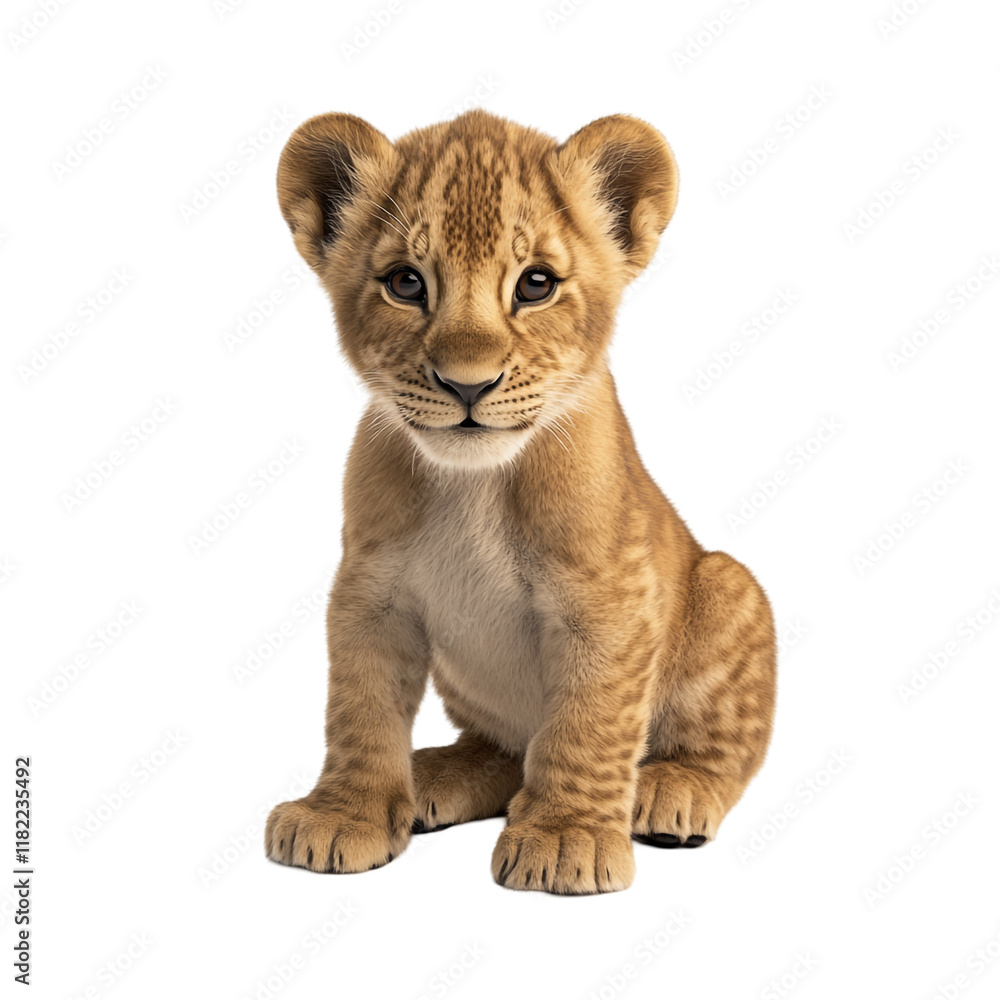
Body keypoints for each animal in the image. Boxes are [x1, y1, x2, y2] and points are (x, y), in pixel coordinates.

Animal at [264, 109, 776, 894]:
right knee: (502, 750)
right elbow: (360, 706)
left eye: (535, 285)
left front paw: (566, 838)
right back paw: (433, 777)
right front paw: (345, 813)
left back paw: (669, 789)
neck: (475, 485)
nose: (467, 385)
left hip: (729, 582)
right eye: (405, 283)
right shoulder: (369, 591)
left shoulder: (609, 600)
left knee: (720, 748)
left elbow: (589, 722)